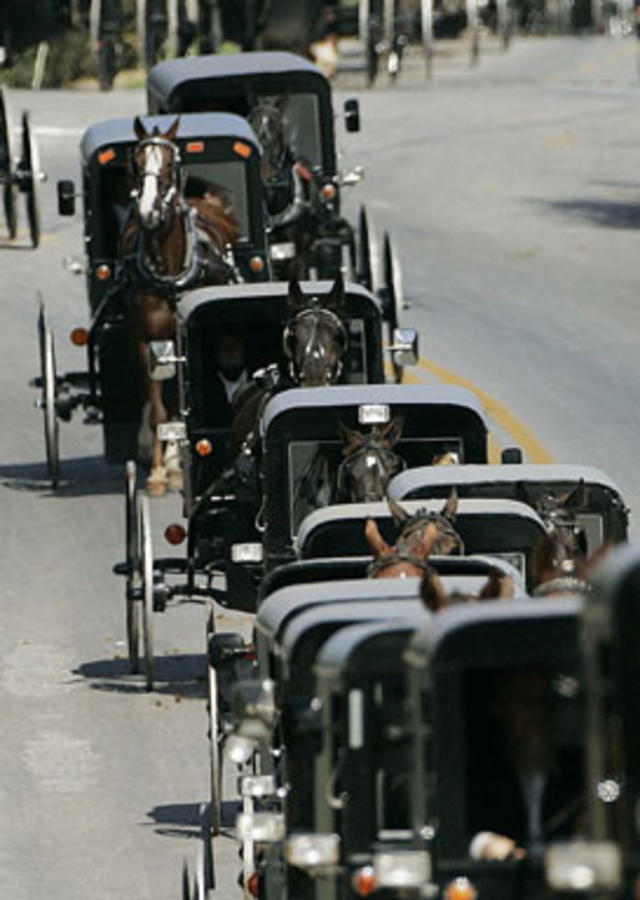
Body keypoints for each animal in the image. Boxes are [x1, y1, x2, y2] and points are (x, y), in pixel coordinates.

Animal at [121, 116, 239, 496]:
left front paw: (172, 466)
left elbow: (178, 406)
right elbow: (161, 409)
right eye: (136, 162)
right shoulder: (145, 341)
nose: (148, 211)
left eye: (170, 163)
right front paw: (159, 472)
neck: (170, 274)